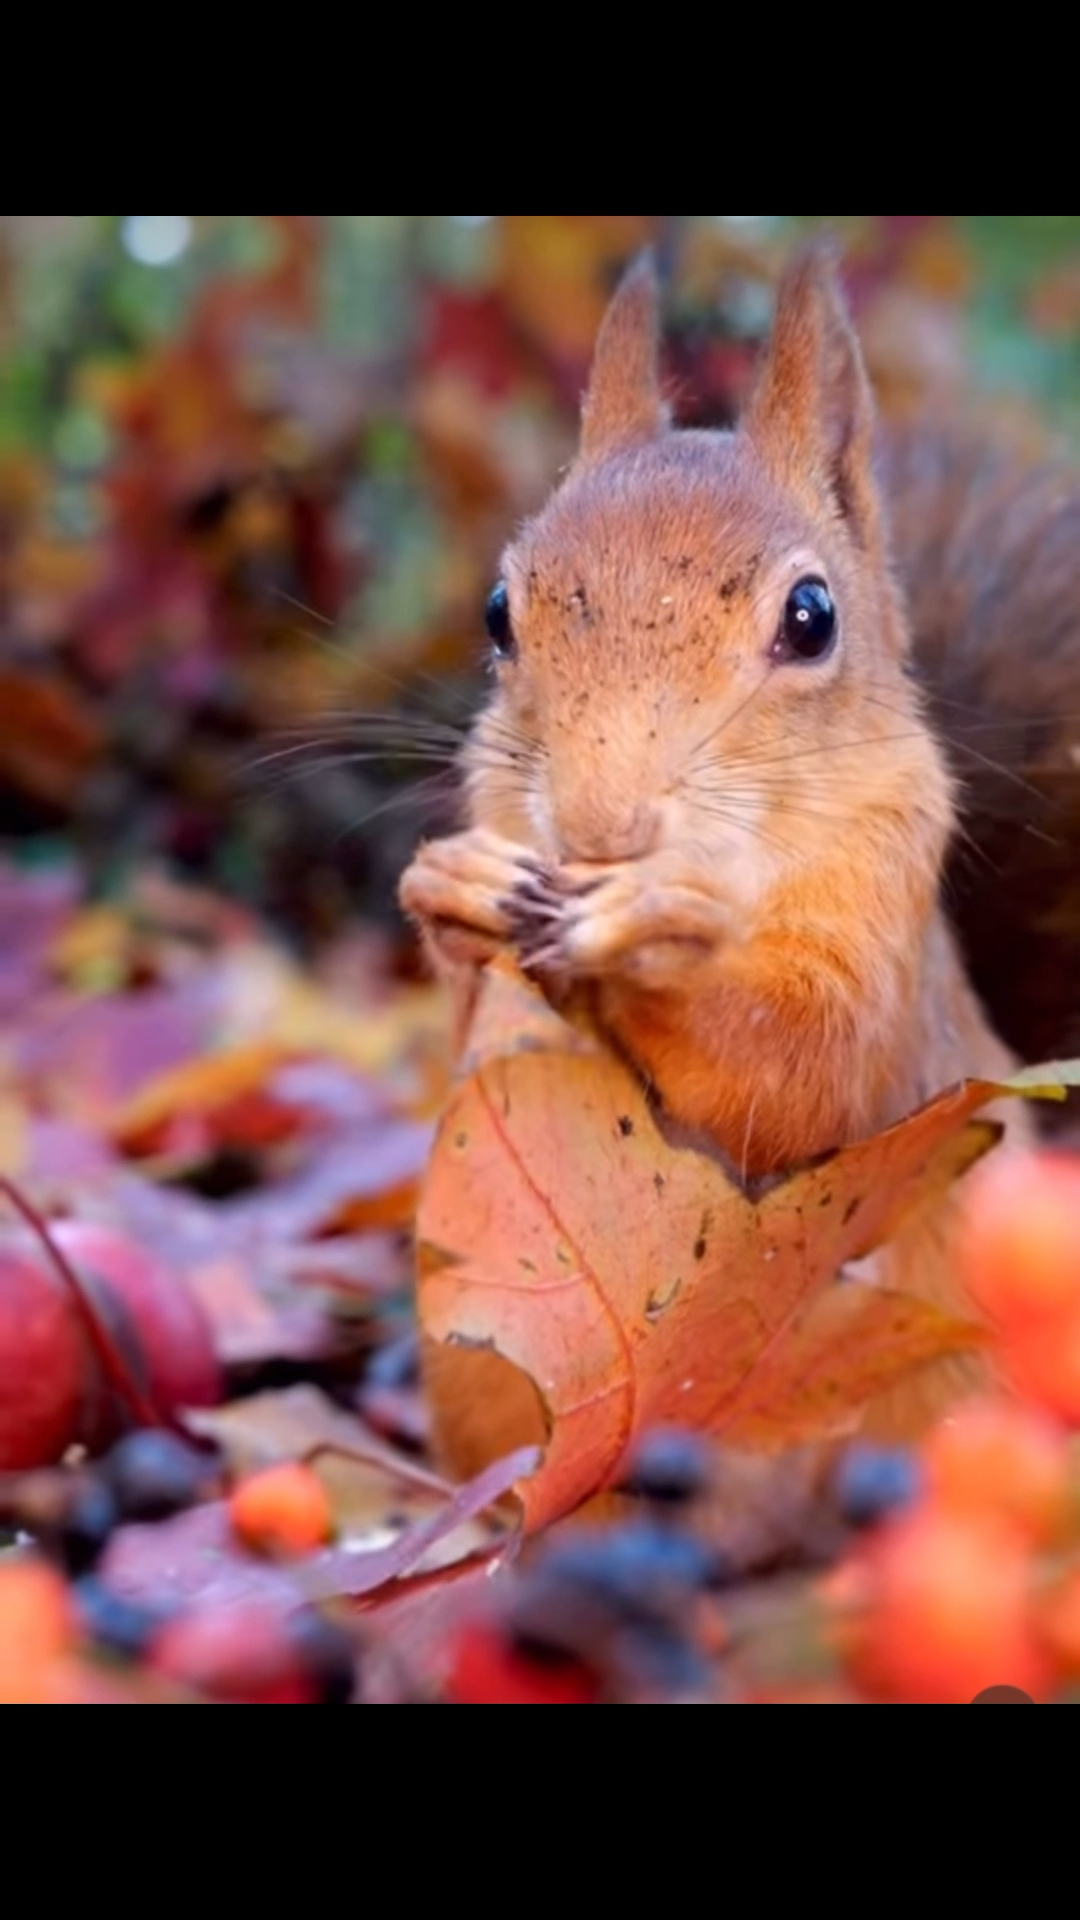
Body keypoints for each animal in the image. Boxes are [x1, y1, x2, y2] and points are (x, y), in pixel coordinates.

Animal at [397, 247, 1076, 1459]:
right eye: (496, 611)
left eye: (811, 617)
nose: (600, 829)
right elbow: (484, 1039)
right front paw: (452, 890)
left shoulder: (885, 931)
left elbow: (804, 1070)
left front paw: (659, 935)